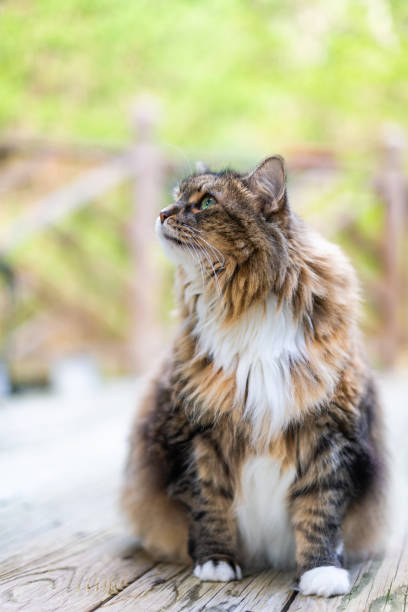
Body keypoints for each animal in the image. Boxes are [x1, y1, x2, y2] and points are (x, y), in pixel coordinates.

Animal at [120, 157, 386, 596]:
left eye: (206, 202)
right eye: (177, 198)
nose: (161, 213)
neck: (242, 304)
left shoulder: (329, 432)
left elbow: (319, 511)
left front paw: (322, 572)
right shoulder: (197, 433)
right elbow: (210, 504)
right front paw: (216, 562)